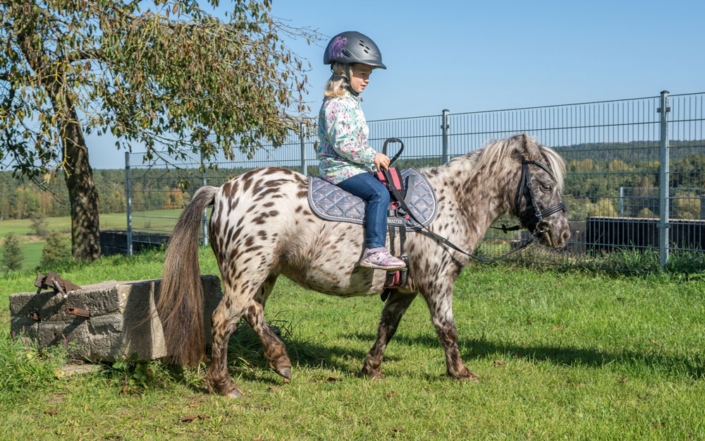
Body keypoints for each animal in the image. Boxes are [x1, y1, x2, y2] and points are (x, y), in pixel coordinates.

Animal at [157, 132, 568, 398]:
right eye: (545, 184)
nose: (561, 233)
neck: (452, 201)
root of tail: (222, 191)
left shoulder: (405, 287)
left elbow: (387, 326)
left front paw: (371, 368)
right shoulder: (437, 282)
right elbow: (446, 329)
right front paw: (461, 373)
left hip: (263, 273)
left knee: (252, 312)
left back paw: (279, 360)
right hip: (247, 271)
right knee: (223, 320)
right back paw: (224, 384)